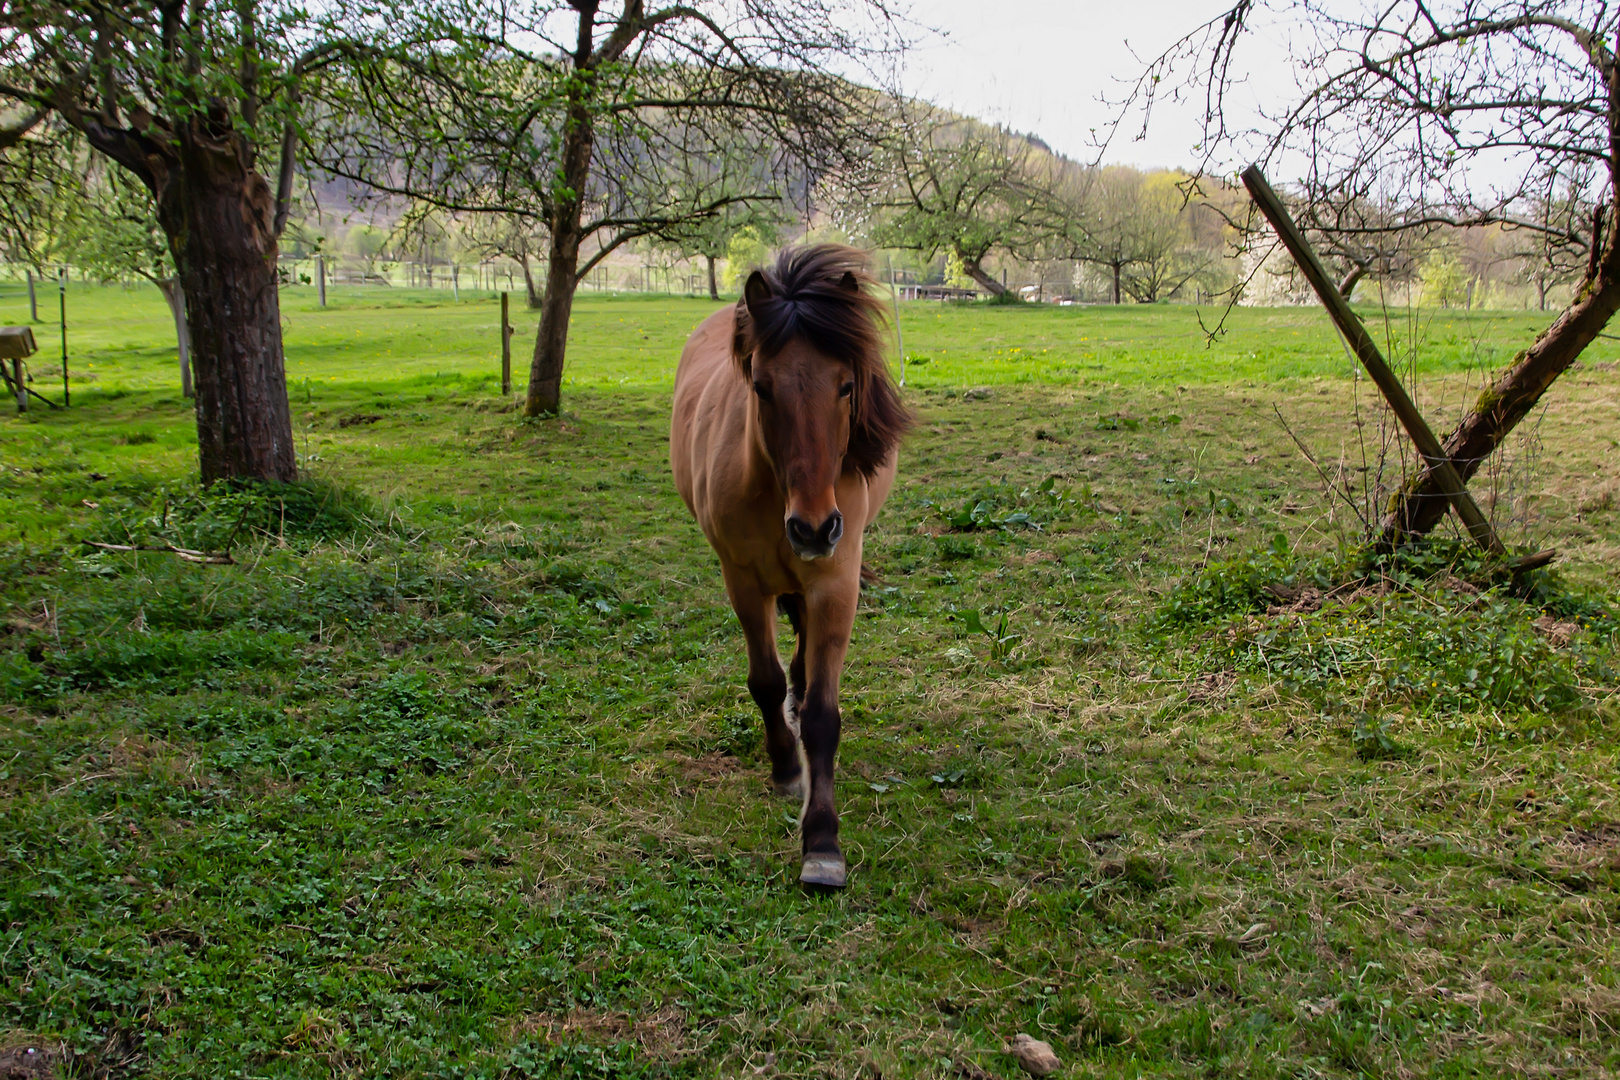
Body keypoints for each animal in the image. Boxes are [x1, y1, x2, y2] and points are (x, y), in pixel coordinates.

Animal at [667, 244, 913, 887]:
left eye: (847, 385)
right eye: (761, 385)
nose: (812, 528)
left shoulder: (835, 582)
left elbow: (825, 714)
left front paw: (822, 842)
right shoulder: (742, 580)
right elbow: (765, 680)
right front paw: (785, 768)